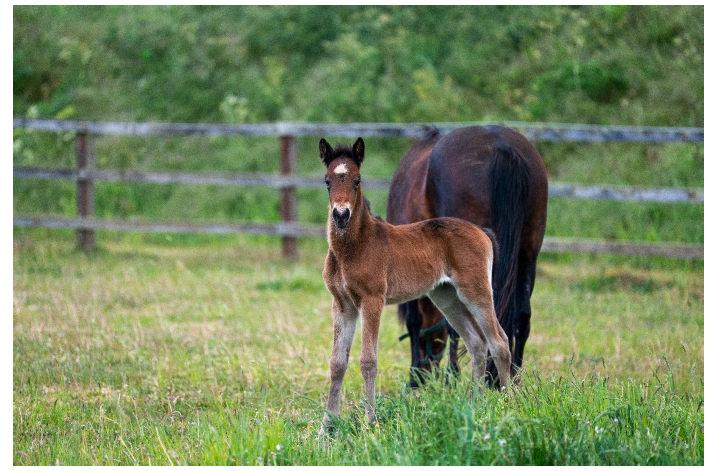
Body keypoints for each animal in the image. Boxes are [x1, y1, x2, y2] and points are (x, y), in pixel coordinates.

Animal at [318, 137, 511, 431]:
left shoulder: (372, 300)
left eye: (357, 180)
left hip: (475, 291)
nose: (341, 215)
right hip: (447, 297)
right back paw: (473, 405)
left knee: (499, 341)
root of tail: (482, 231)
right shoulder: (342, 305)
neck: (353, 247)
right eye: (327, 181)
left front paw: (370, 423)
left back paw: (512, 402)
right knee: (477, 343)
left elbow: (368, 360)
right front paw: (326, 427)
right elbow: (337, 362)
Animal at [387, 125, 548, 387]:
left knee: (460, 327)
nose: (423, 374)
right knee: (522, 316)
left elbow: (414, 320)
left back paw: (455, 375)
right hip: (528, 251)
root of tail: (500, 145)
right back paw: (512, 377)